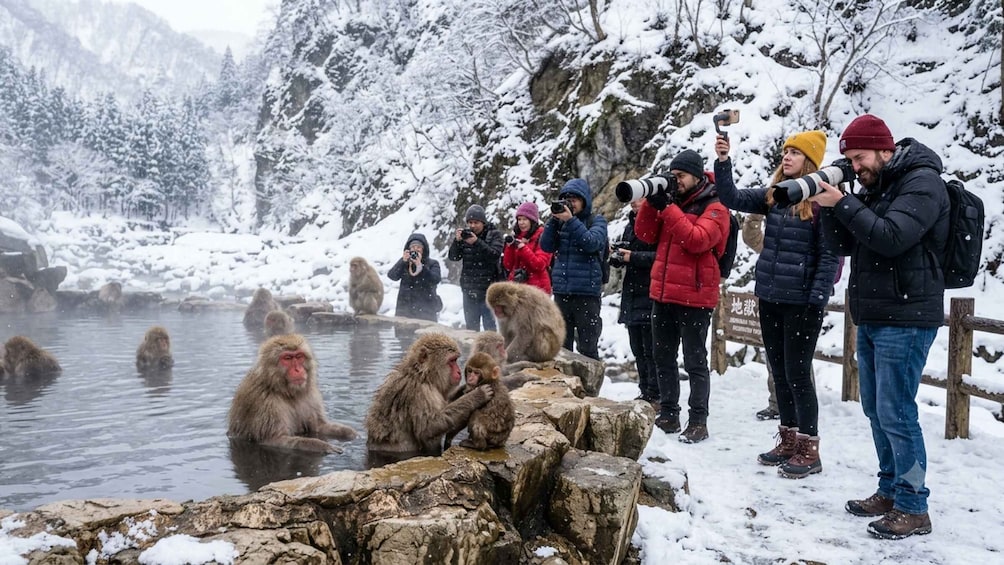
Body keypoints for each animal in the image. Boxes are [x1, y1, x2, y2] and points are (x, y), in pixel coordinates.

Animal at [227, 334, 357, 453]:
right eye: (287, 358)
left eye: (299, 356)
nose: (298, 370)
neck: (285, 391)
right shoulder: (264, 403)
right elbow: (274, 440)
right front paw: (323, 446)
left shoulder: (310, 395)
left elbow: (318, 426)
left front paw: (350, 432)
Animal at [365, 333, 494, 458]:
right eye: (452, 361)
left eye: (456, 360)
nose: (459, 371)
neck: (422, 376)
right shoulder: (421, 393)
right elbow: (428, 429)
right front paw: (477, 395)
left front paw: (463, 390)